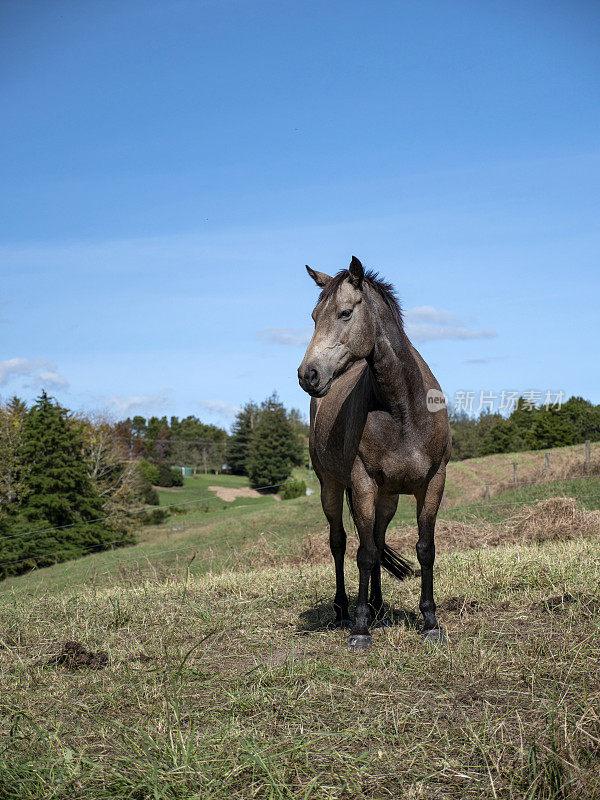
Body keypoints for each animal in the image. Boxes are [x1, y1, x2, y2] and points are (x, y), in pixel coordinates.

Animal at [298, 256, 452, 648]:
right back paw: (344, 611)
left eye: (345, 313)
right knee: (339, 542)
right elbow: (364, 554)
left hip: (388, 496)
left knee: (379, 539)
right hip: (331, 486)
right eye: (314, 316)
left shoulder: (433, 483)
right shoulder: (363, 485)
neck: (403, 407)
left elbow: (424, 549)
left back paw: (380, 609)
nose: (308, 375)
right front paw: (360, 629)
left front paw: (430, 622)